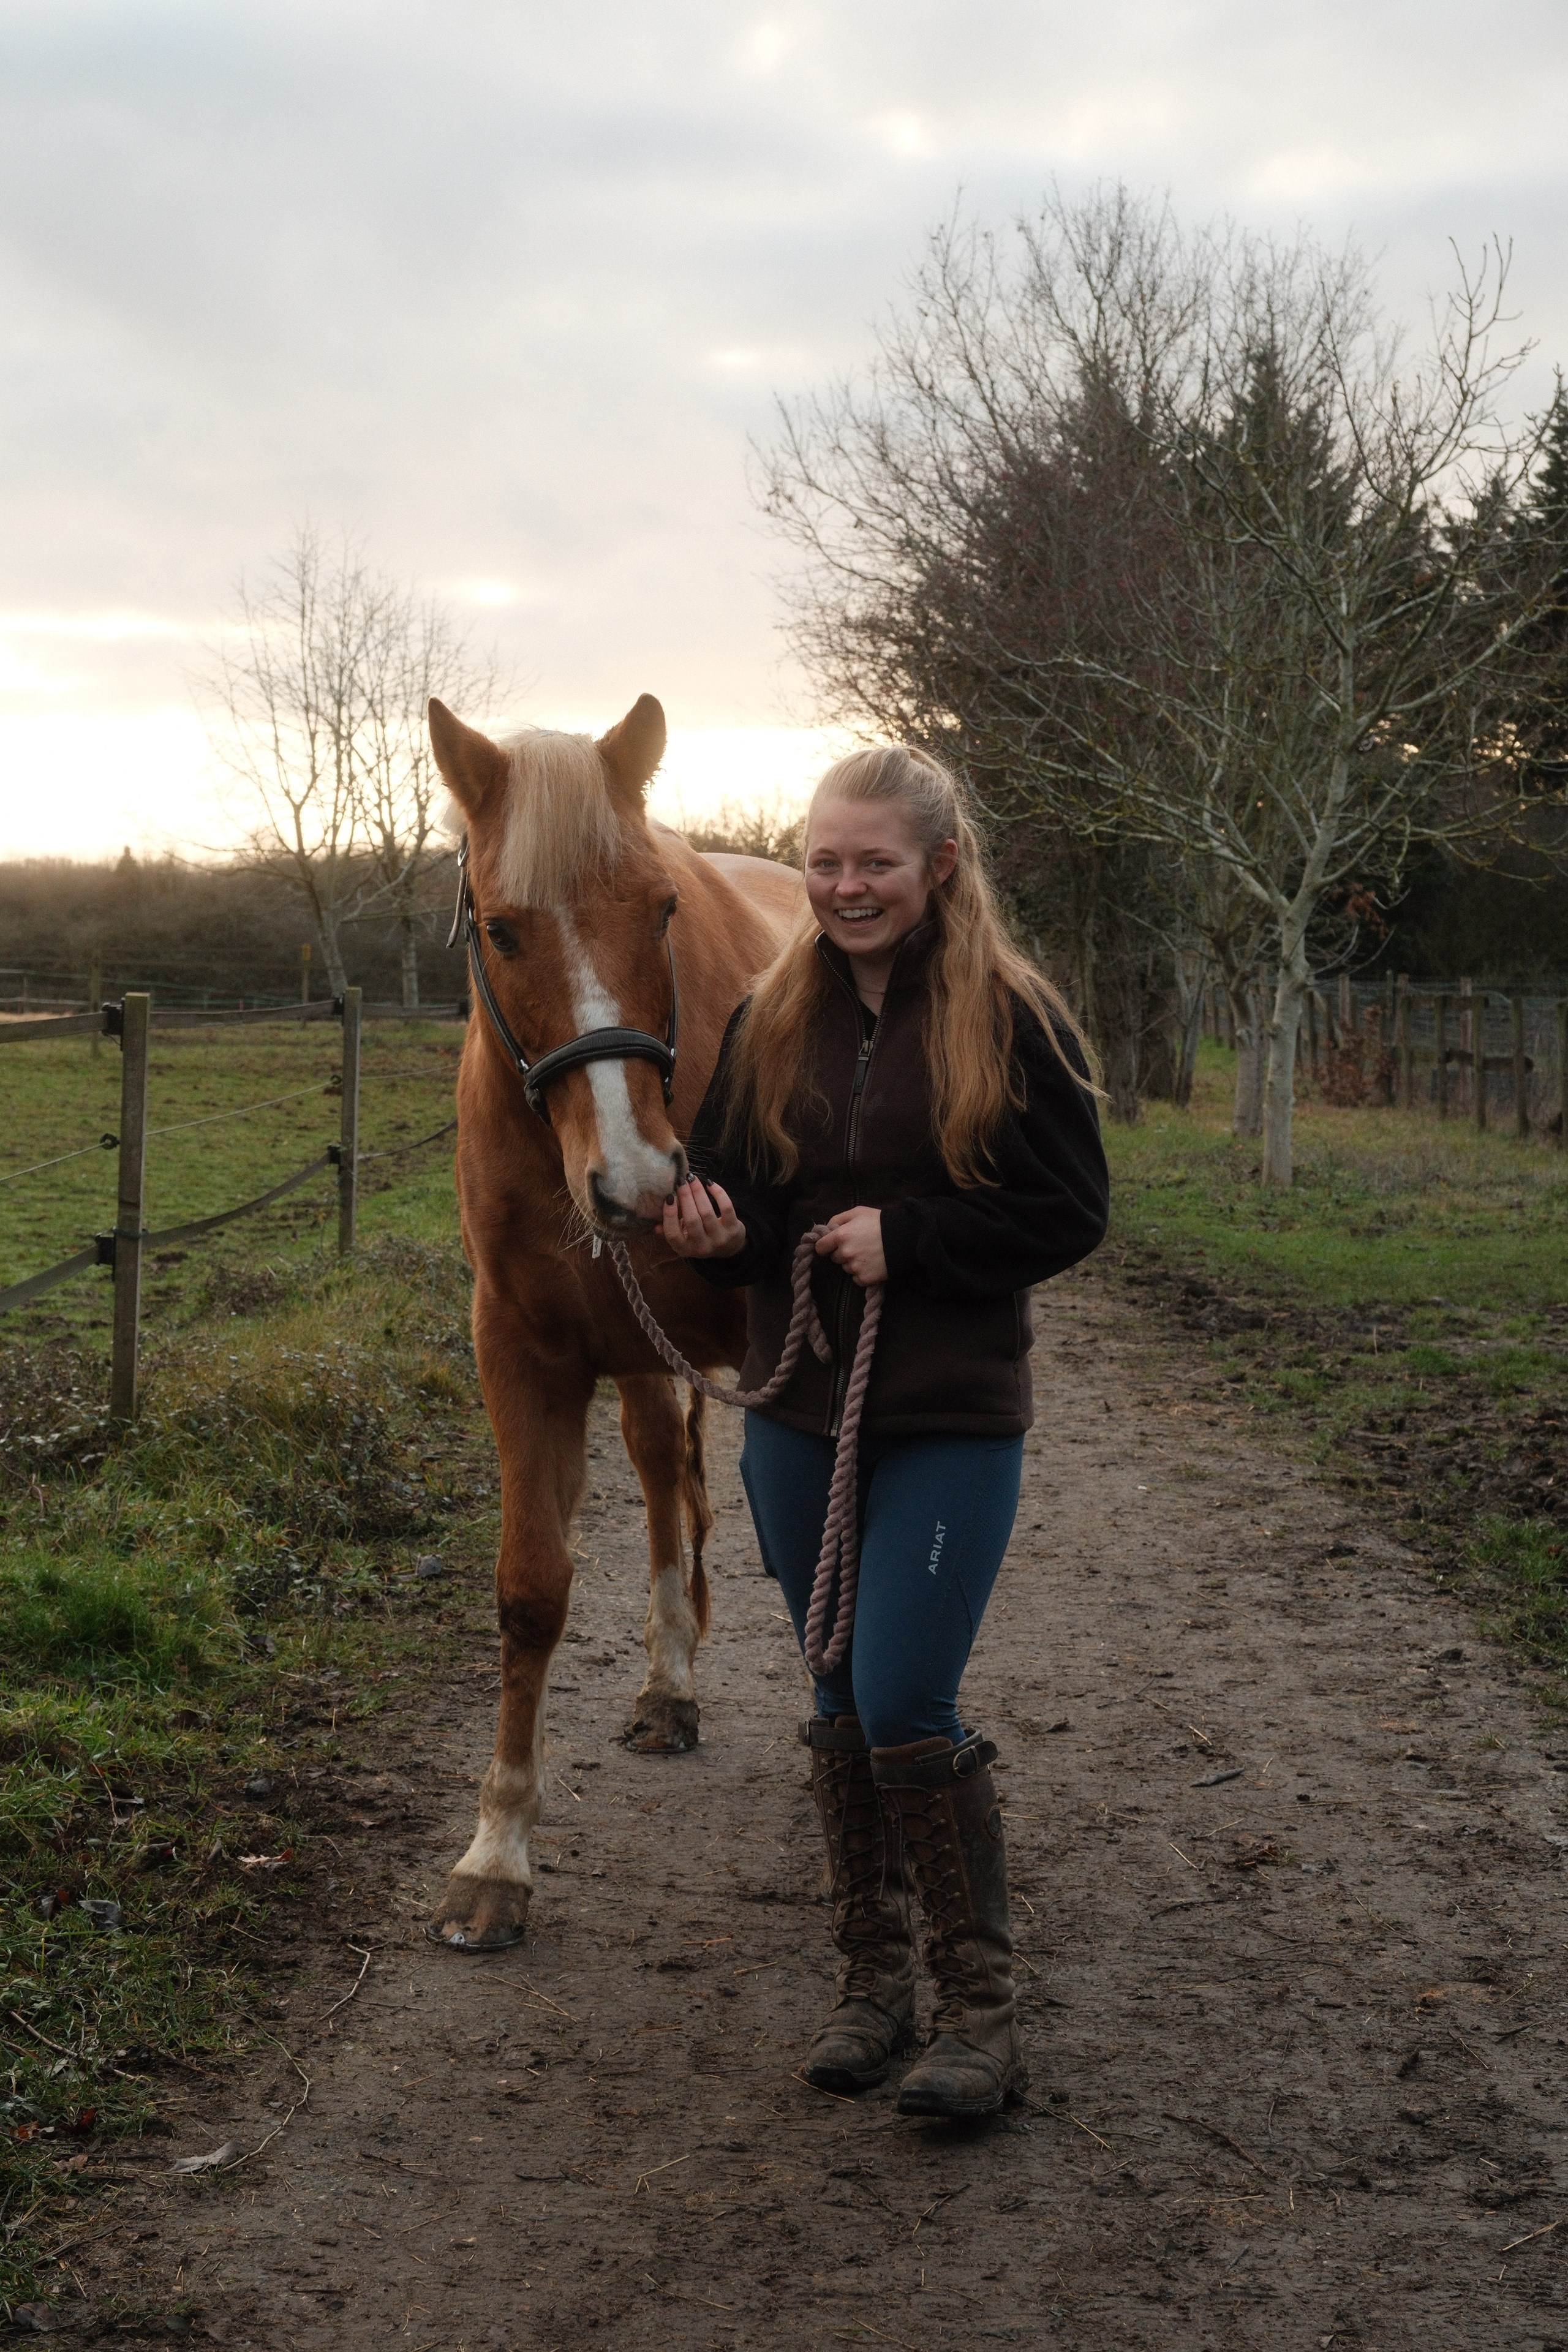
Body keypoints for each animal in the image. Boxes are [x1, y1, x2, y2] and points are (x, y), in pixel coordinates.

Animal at [426, 692, 801, 1951]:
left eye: (663, 909)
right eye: (500, 930)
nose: (640, 1180)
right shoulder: (524, 1357)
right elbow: (532, 1591)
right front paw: (496, 1855)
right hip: (638, 1356)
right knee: (659, 1476)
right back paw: (667, 1685)